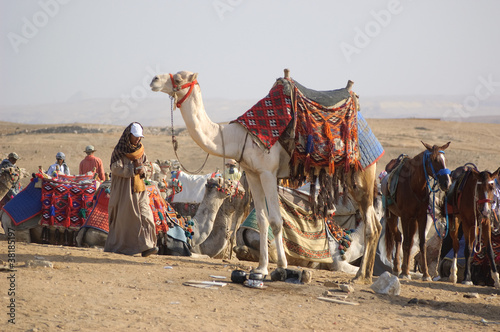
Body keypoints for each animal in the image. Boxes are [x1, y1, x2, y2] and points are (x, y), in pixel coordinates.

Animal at [150, 70, 380, 282]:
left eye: (178, 78)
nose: (154, 80)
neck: (237, 137)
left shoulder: (268, 173)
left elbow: (276, 221)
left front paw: (281, 268)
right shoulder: (253, 173)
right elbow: (262, 220)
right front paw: (261, 269)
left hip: (362, 174)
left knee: (370, 225)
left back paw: (360, 276)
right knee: (376, 226)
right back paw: (367, 275)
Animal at [382, 141, 454, 282]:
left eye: (445, 160)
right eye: (434, 160)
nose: (447, 183)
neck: (414, 186)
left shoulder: (421, 217)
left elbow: (421, 244)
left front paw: (426, 274)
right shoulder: (405, 217)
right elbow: (406, 243)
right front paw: (405, 273)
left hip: (413, 221)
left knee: (407, 241)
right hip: (392, 216)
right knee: (399, 237)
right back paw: (397, 268)